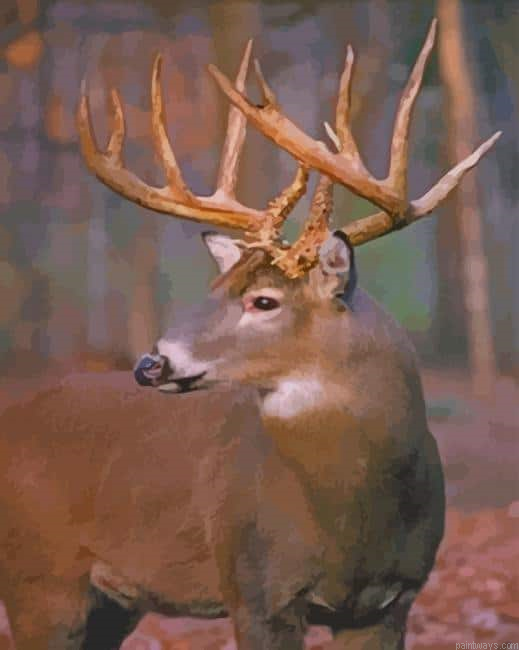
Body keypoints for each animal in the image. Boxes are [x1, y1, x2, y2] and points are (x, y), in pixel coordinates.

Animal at [0, 19, 500, 650]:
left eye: (263, 300)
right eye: (218, 286)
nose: (150, 364)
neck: (354, 519)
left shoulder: (391, 601)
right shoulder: (257, 589)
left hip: (111, 604)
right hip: (38, 581)